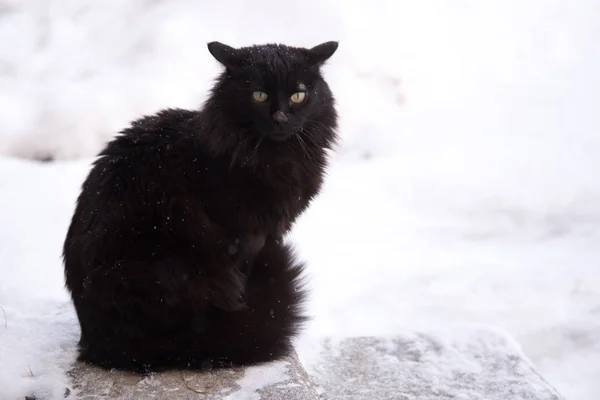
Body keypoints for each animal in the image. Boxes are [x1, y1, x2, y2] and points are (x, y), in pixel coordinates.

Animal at [64, 40, 342, 372]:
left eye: (299, 95)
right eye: (258, 95)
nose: (280, 118)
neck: (276, 159)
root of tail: (98, 341)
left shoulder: (269, 232)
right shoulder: (245, 237)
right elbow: (243, 277)